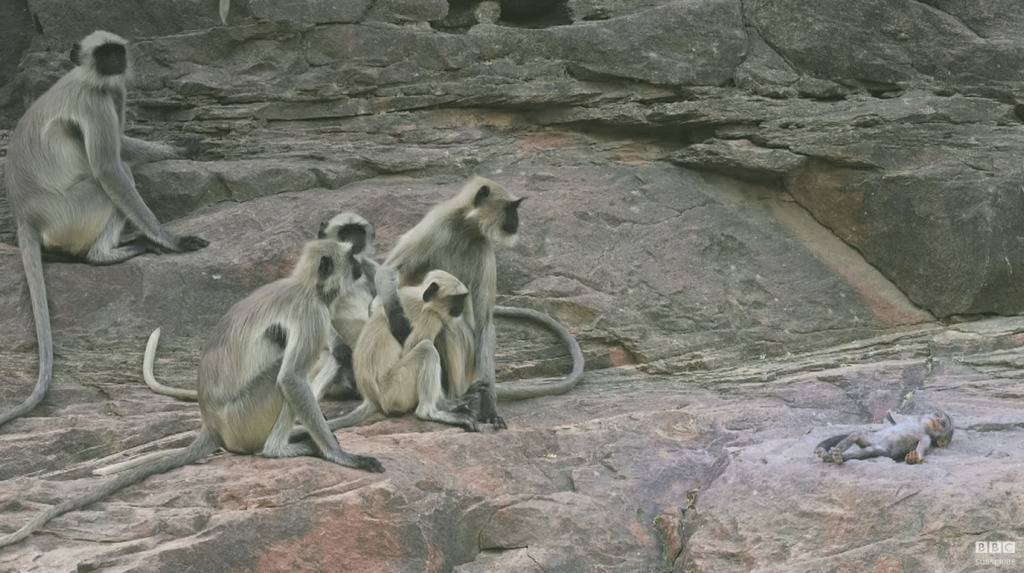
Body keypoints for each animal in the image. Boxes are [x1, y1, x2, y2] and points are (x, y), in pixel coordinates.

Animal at [0, 29, 209, 427]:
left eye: (116, 52)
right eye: (102, 54)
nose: (115, 61)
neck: (88, 78)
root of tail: (26, 215)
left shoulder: (115, 91)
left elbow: (123, 144)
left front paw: (179, 147)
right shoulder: (95, 102)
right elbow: (110, 166)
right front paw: (170, 239)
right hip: (72, 210)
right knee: (112, 177)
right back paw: (112, 251)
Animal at [0, 238, 385, 552]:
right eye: (351, 262)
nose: (361, 268)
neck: (305, 286)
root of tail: (211, 423)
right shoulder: (311, 313)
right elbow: (291, 378)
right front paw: (342, 456)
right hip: (246, 414)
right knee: (284, 375)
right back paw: (280, 448)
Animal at [327, 270, 487, 431]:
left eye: (462, 298)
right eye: (457, 299)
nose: (461, 307)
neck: (422, 300)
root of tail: (371, 398)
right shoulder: (430, 318)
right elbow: (409, 349)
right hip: (395, 391)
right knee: (426, 348)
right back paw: (431, 412)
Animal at [372, 174, 589, 429]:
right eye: (511, 208)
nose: (517, 221)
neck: (464, 229)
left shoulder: (484, 248)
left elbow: (484, 324)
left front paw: (490, 408)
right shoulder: (435, 225)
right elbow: (389, 269)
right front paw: (398, 321)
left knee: (450, 329)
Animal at [811, 407, 954, 466]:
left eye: (943, 423)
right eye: (937, 415)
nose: (936, 419)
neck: (921, 426)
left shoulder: (926, 437)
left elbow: (922, 446)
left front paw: (915, 457)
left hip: (879, 450)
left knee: (864, 452)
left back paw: (835, 456)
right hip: (872, 439)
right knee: (857, 435)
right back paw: (831, 453)